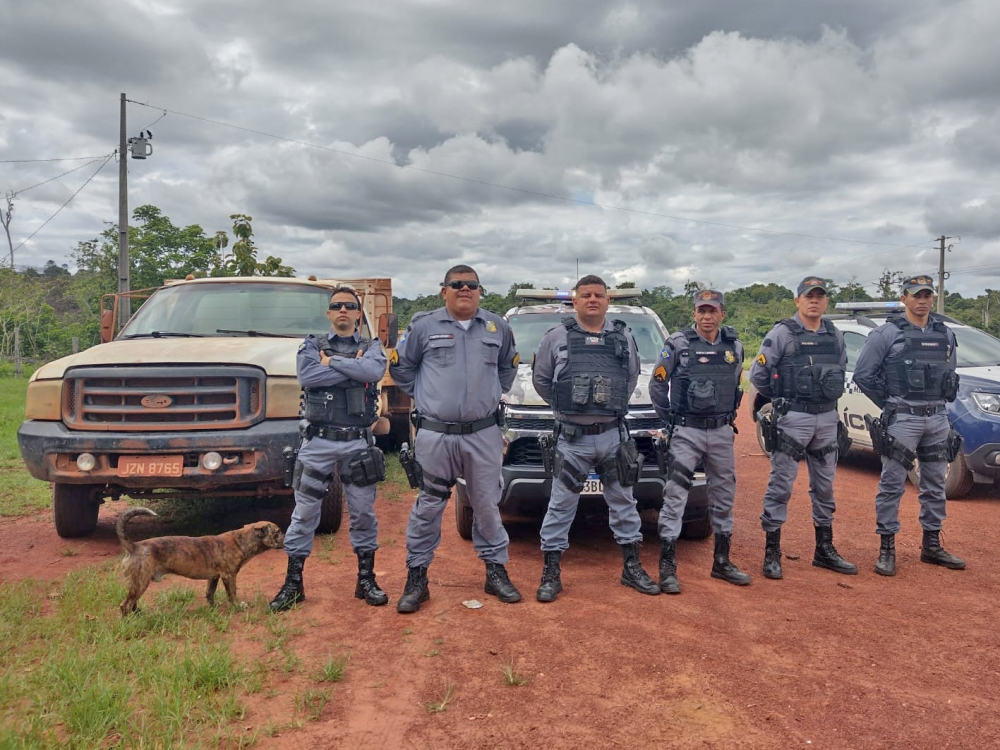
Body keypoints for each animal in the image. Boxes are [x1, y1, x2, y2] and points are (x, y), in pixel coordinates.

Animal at [120, 508, 290, 620]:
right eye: (277, 532)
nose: (287, 537)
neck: (240, 541)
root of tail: (134, 546)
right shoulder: (229, 576)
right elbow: (232, 593)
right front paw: (237, 606)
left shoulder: (213, 578)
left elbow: (210, 593)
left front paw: (213, 608)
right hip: (140, 582)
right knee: (125, 604)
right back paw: (130, 622)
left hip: (139, 584)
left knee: (133, 602)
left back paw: (138, 615)